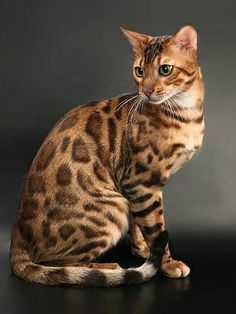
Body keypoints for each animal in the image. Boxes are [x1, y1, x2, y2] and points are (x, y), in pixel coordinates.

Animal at [9, 25, 205, 288]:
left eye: (165, 69)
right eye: (140, 71)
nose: (146, 91)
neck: (185, 111)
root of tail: (15, 245)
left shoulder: (132, 187)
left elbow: (139, 222)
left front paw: (142, 250)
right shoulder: (141, 182)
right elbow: (155, 228)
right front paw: (167, 264)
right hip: (112, 208)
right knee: (59, 264)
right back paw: (108, 267)